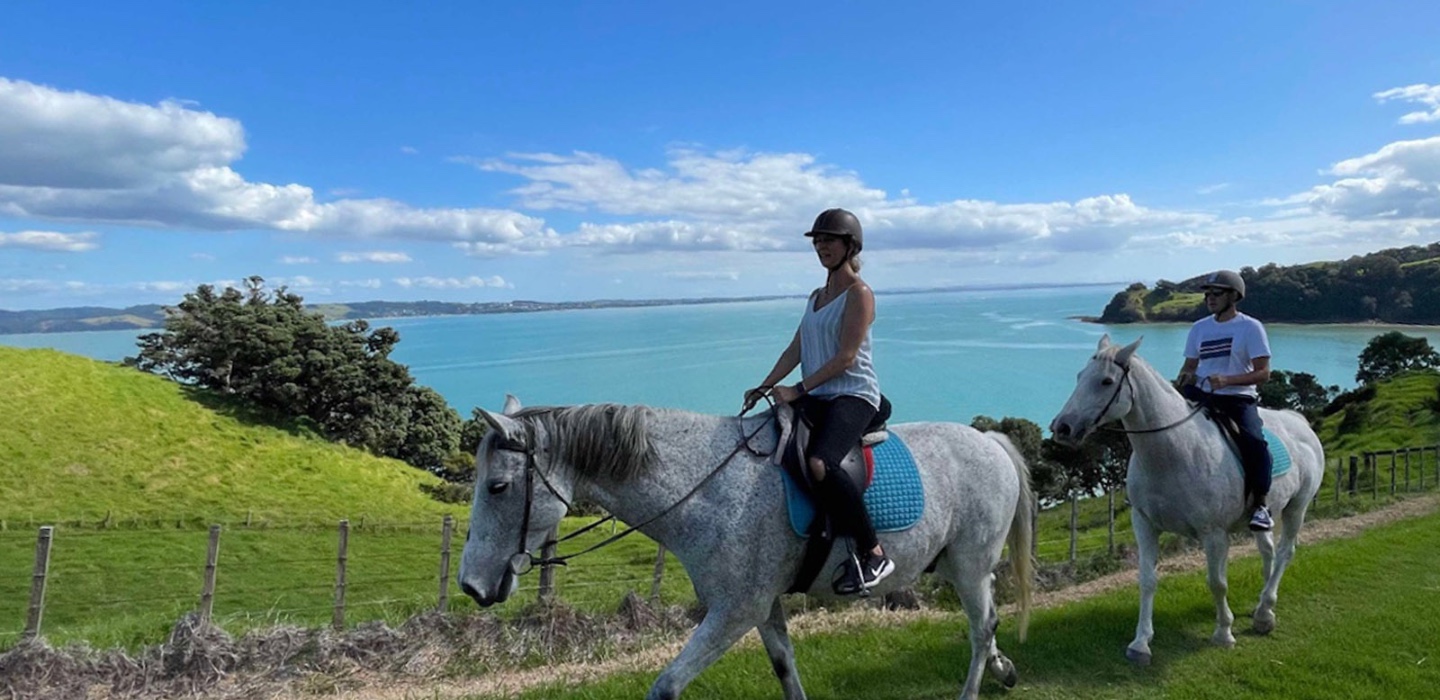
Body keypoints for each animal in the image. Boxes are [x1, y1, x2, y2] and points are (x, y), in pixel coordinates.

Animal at [460, 397, 1036, 700]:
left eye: (498, 487)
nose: (471, 585)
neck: (706, 486)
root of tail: (990, 441)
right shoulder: (762, 607)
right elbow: (784, 667)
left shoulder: (734, 611)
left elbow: (665, 687)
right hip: (960, 566)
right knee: (988, 625)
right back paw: (1004, 669)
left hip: (969, 565)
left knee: (981, 627)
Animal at [1042, 337, 1319, 665]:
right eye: (1079, 376)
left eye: (1106, 381)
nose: (1062, 427)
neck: (1175, 452)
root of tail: (1299, 422)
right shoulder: (1144, 524)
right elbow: (1147, 580)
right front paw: (1141, 643)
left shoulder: (1214, 534)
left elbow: (1217, 583)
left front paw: (1223, 633)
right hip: (1264, 514)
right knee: (1269, 552)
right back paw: (1263, 607)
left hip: (1297, 508)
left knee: (1286, 551)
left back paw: (1264, 614)